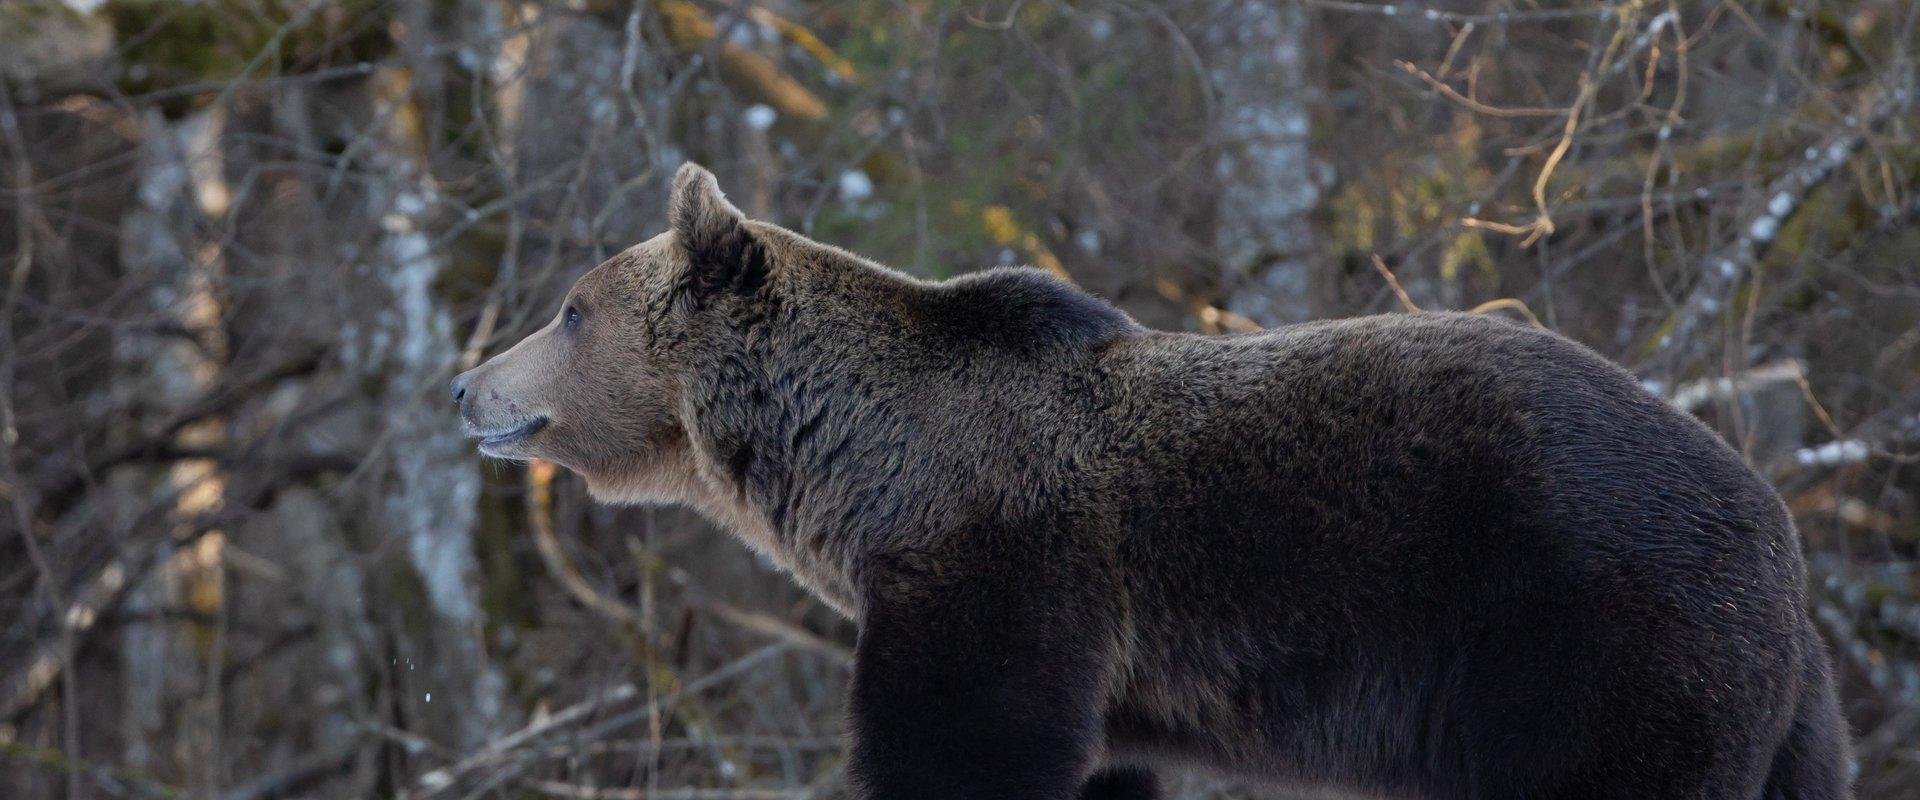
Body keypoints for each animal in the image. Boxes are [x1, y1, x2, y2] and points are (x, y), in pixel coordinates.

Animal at [449, 164, 1843, 798]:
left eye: (568, 308)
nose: (467, 384)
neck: (860, 475)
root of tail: (1776, 518)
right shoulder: (1092, 667)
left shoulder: (1007, 564)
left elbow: (961, 736)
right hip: (1769, 707)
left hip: (1586, 625)